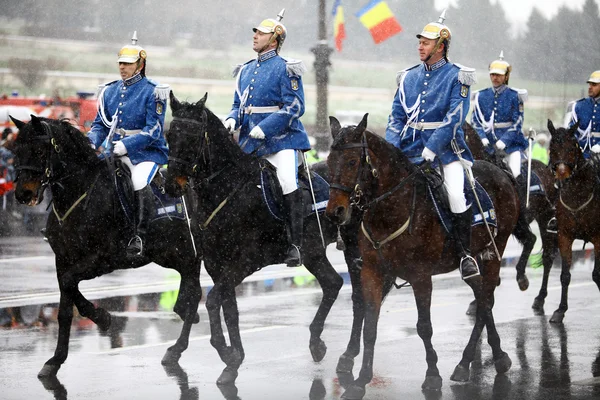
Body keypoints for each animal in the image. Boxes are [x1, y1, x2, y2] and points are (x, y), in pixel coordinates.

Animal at [10, 114, 203, 376]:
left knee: (194, 295)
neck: (79, 194)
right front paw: (56, 359)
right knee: (189, 289)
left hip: (187, 254)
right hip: (170, 254)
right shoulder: (63, 259)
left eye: (40, 151)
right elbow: (66, 305)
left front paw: (102, 318)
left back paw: (176, 348)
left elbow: (69, 285)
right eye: (16, 150)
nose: (23, 194)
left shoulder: (104, 258)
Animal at [162, 92, 366, 386]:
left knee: (358, 297)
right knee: (333, 283)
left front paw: (226, 352)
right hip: (313, 252)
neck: (228, 190)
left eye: (192, 135)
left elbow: (212, 302)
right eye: (169, 135)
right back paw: (316, 342)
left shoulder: (244, 263)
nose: (170, 184)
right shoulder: (216, 265)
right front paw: (233, 360)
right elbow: (229, 310)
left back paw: (350, 354)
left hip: (352, 250)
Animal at [324, 114, 524, 398]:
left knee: (485, 301)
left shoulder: (420, 277)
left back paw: (471, 362)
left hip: (493, 252)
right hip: (474, 259)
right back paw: (491, 357)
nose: (335, 211)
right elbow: (369, 326)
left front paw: (432, 376)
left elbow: (424, 327)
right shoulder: (372, 272)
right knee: (483, 298)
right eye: (330, 161)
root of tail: (500, 172)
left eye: (352, 161)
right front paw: (360, 381)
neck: (392, 209)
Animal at [548, 120, 600, 324]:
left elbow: (597, 274)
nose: (562, 175)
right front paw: (560, 310)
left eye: (571, 147)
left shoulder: (598, 238)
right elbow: (565, 275)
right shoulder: (564, 236)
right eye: (552, 147)